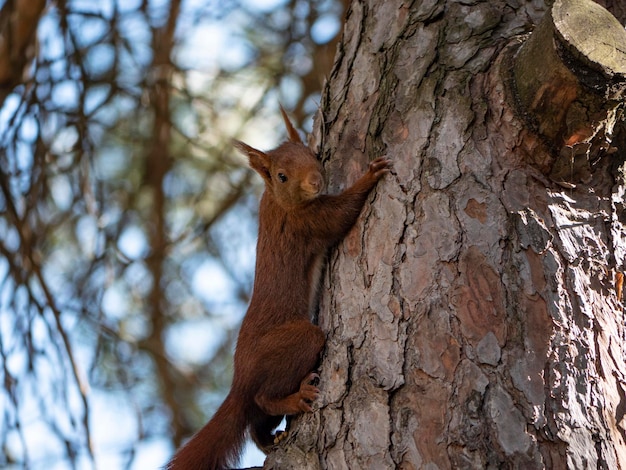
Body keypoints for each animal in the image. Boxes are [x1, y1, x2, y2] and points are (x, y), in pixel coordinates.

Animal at [166, 107, 390, 470]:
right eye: (282, 176)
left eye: (314, 155)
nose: (315, 181)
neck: (276, 201)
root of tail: (239, 382)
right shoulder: (308, 222)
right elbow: (342, 214)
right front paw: (370, 176)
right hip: (292, 344)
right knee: (262, 398)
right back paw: (296, 399)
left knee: (254, 423)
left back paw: (271, 439)